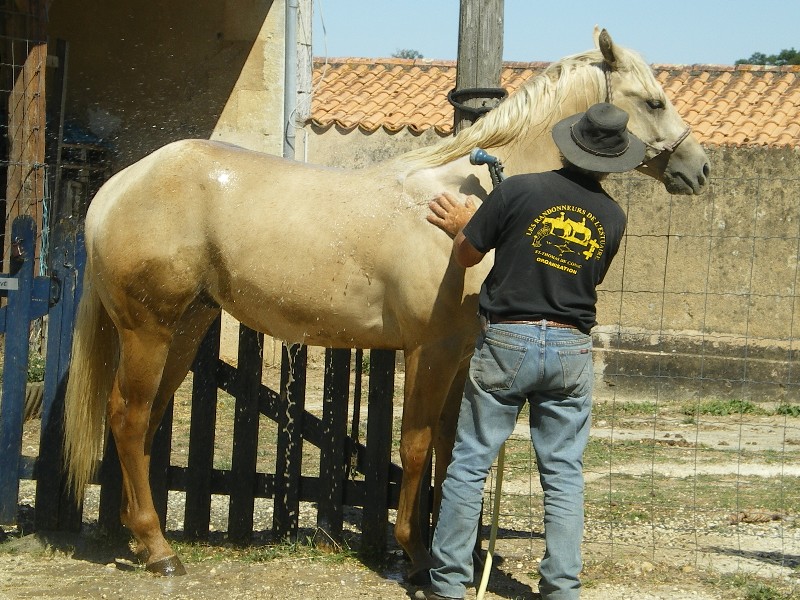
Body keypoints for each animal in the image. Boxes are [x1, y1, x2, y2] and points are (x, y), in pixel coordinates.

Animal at [65, 28, 708, 576]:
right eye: (653, 101)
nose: (698, 168)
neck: (470, 195)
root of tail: (118, 187)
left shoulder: (462, 356)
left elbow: (451, 446)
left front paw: (455, 549)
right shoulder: (430, 349)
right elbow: (417, 444)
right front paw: (417, 553)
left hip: (187, 327)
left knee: (144, 420)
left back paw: (139, 537)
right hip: (149, 330)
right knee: (127, 416)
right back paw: (158, 550)